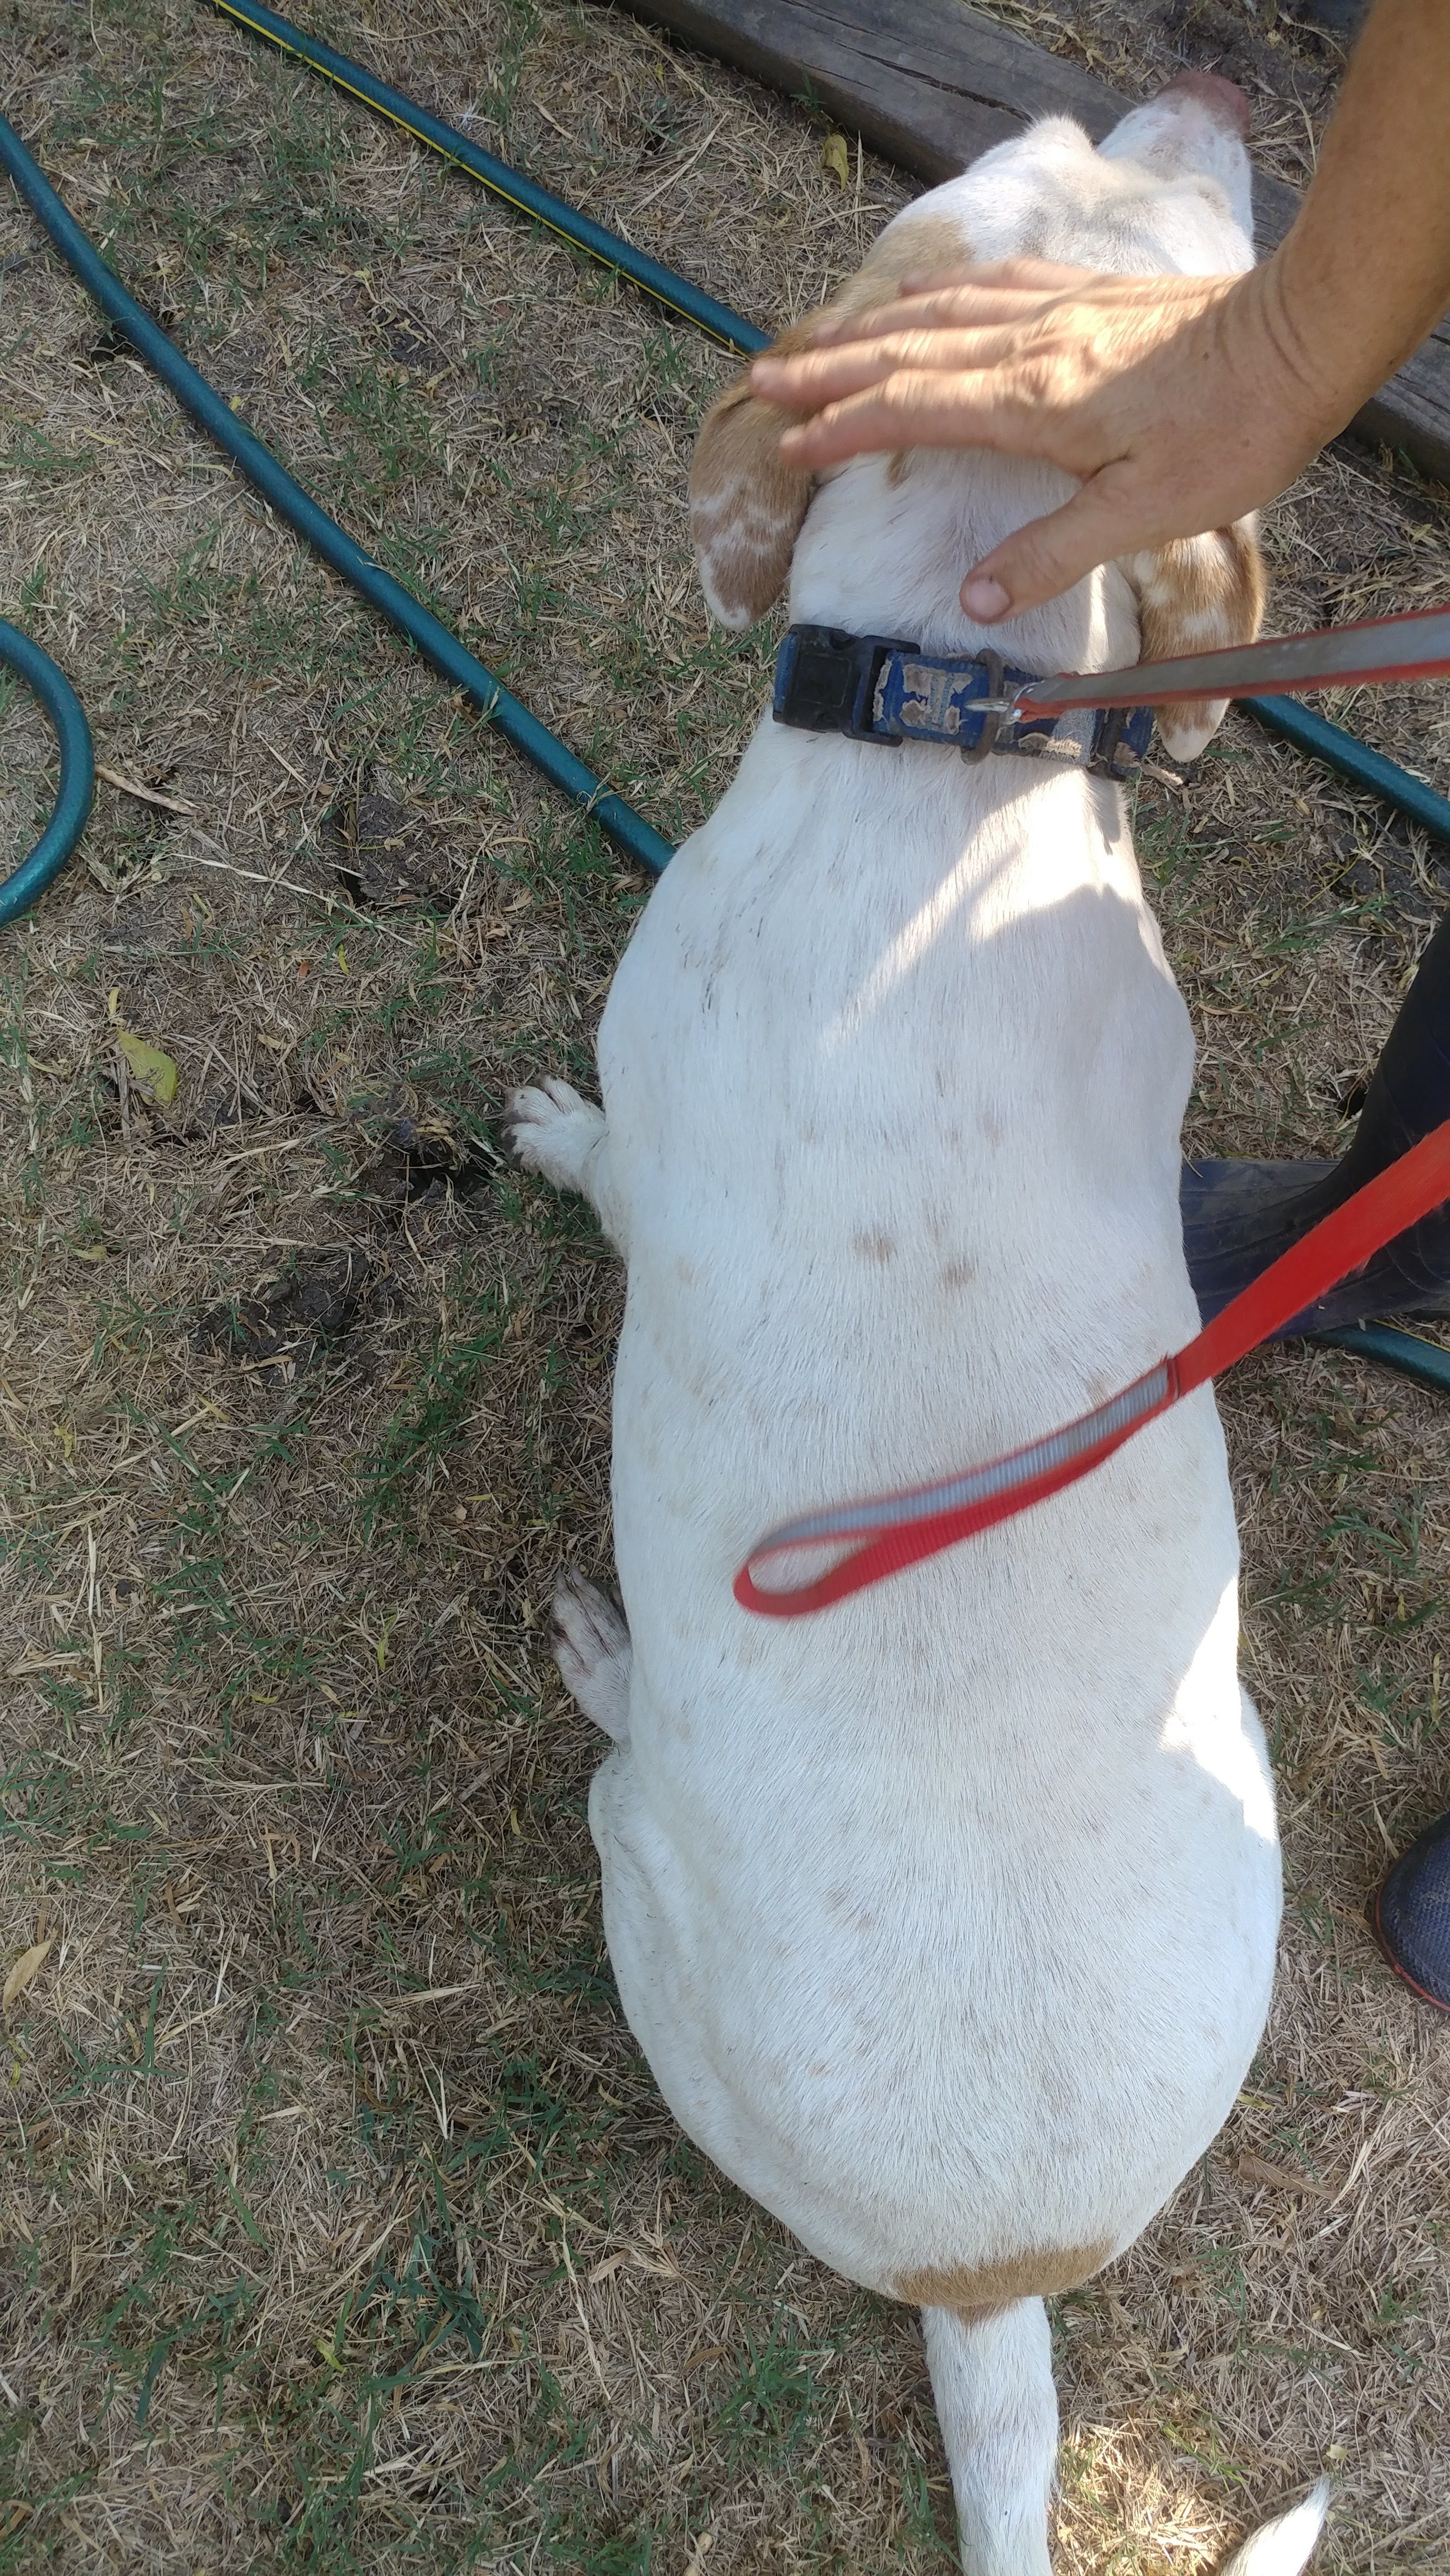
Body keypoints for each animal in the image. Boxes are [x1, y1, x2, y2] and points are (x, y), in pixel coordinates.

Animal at [507, 80, 1329, 2576]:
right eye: (1061, 140)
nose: (1216, 84)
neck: (940, 768)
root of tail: (999, 2277)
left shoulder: (654, 1092)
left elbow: (604, 1156)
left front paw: (546, 1135)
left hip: (638, 1869)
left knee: (614, 1771)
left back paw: (607, 1659)